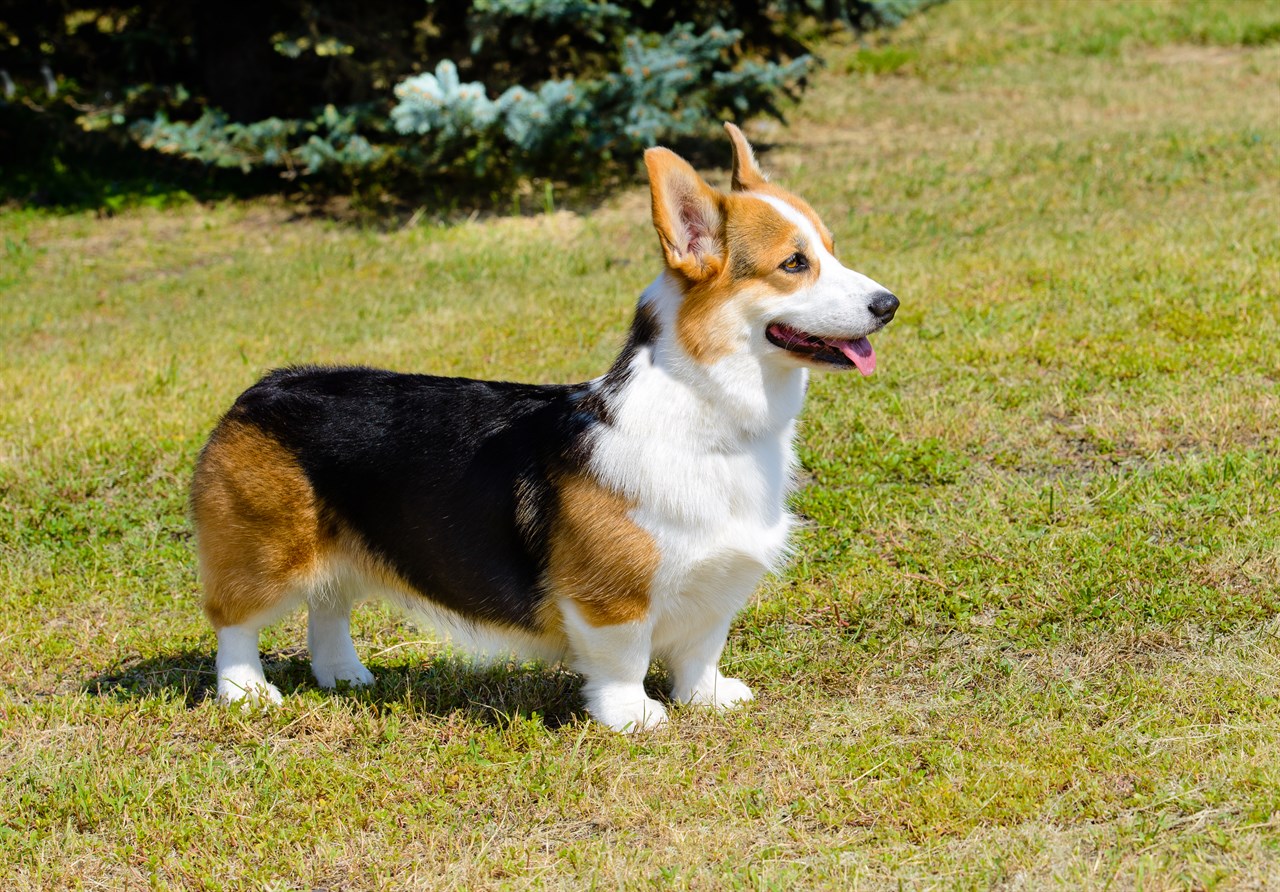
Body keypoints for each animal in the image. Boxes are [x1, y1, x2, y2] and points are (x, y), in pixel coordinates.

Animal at [192, 121, 901, 726]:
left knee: (329, 605)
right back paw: (246, 692)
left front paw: (709, 699)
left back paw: (343, 676)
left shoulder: (715, 585)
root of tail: (264, 386)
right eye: (794, 264)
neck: (711, 422)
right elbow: (623, 660)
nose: (889, 304)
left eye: (831, 250)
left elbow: (701, 649)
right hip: (264, 554)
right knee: (234, 621)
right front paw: (635, 718)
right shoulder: (609, 597)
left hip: (339, 550)